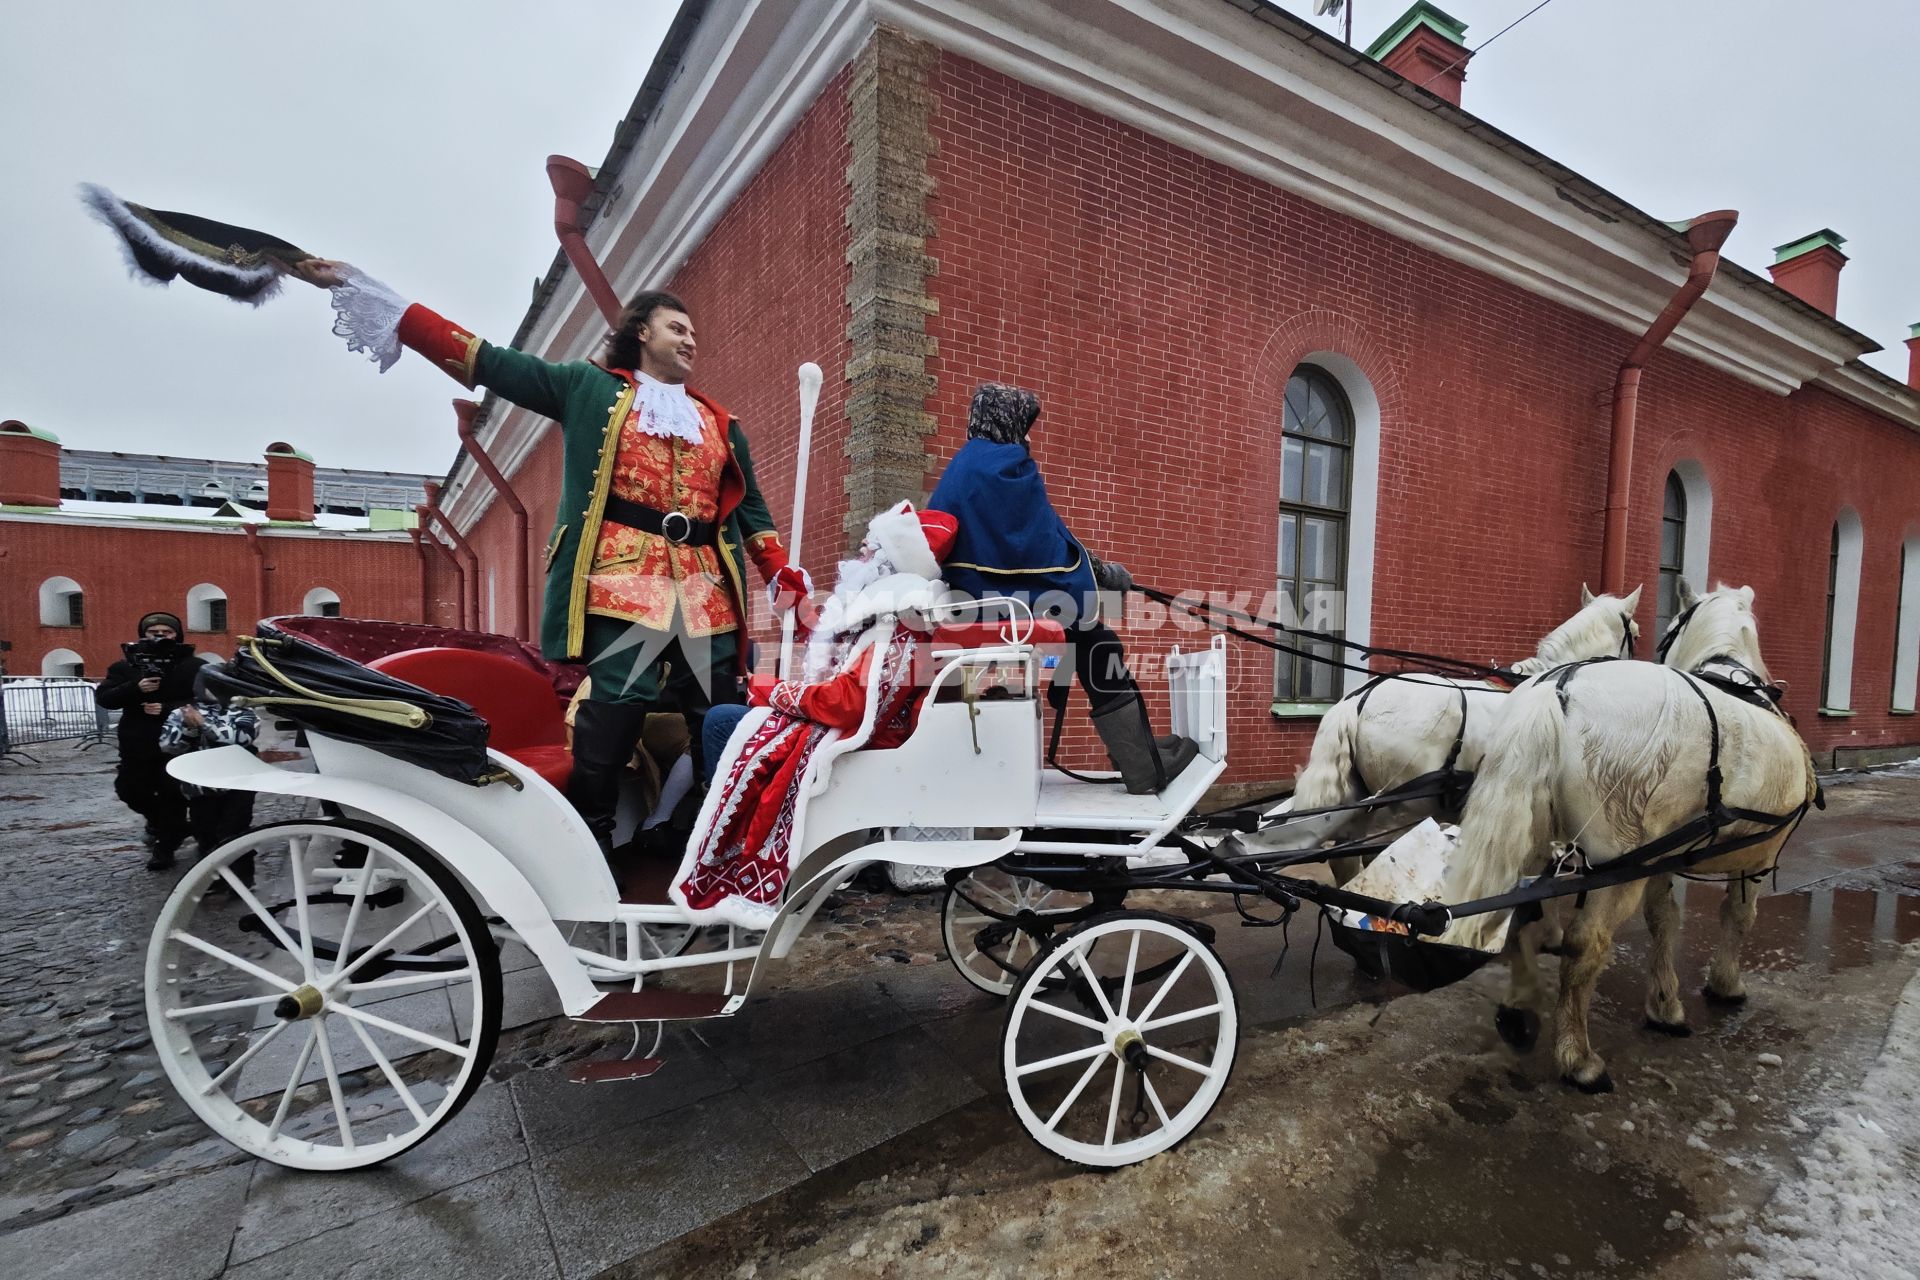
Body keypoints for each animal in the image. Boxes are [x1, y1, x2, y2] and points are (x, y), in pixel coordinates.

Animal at [1451, 583, 1812, 1090]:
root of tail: (1559, 689)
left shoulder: (1663, 858)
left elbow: (1664, 920)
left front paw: (1664, 1004)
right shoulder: (1754, 857)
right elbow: (1738, 917)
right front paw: (1725, 984)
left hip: (1539, 841)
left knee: (1520, 917)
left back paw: (1519, 1012)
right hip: (1620, 863)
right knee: (1586, 943)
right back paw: (1578, 1058)